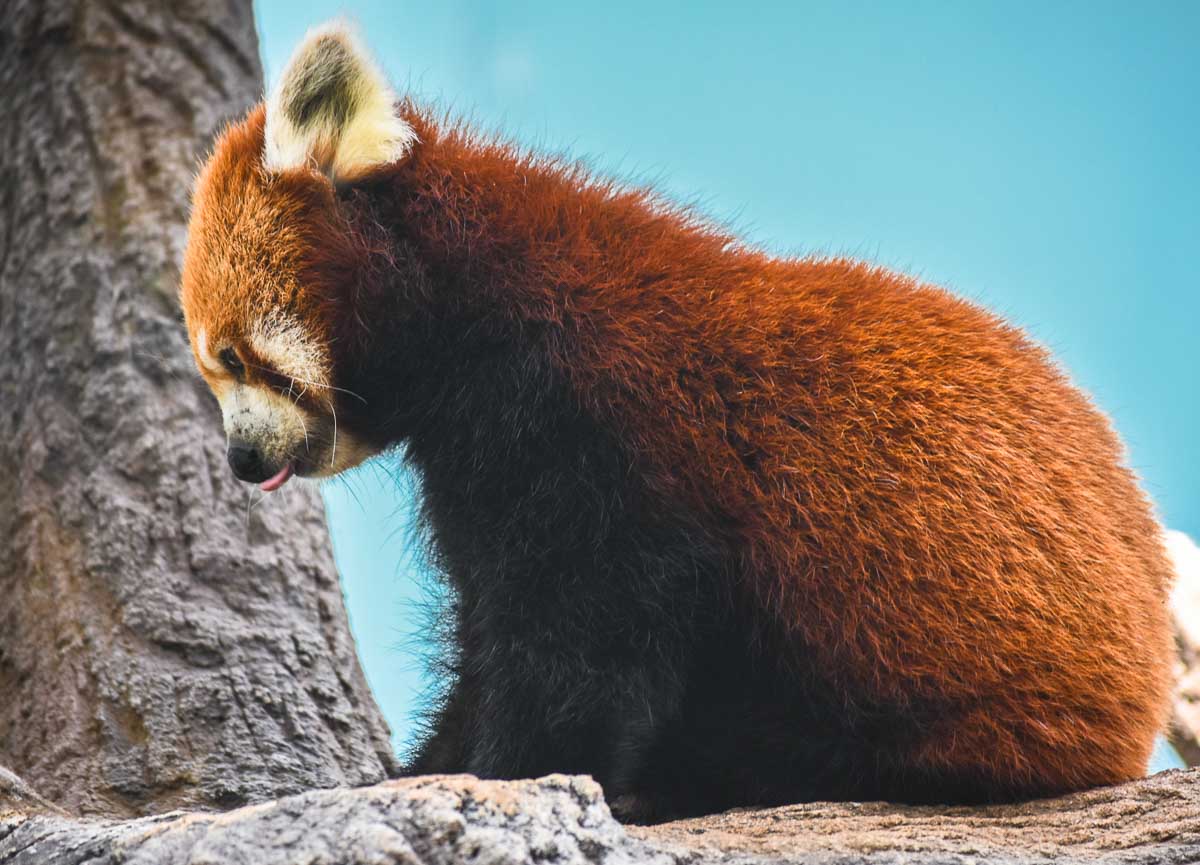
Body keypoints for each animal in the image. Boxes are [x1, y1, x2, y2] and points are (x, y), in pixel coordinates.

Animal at [177, 18, 1171, 815]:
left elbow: (576, 640)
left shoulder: (588, 422)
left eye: (237, 358)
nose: (240, 458)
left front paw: (514, 773)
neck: (467, 296)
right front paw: (416, 770)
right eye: (214, 369)